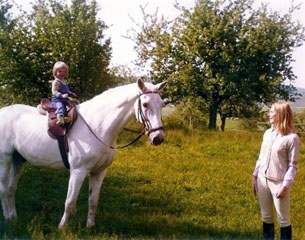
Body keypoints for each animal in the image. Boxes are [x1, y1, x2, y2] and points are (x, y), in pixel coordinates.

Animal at [0, 79, 166, 229]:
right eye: (145, 104)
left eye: (162, 104)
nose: (158, 138)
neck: (98, 126)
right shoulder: (78, 171)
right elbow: (70, 202)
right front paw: (62, 228)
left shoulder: (99, 172)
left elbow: (93, 201)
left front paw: (90, 226)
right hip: (5, 160)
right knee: (4, 189)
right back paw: (8, 218)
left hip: (18, 160)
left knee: (11, 189)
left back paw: (13, 217)